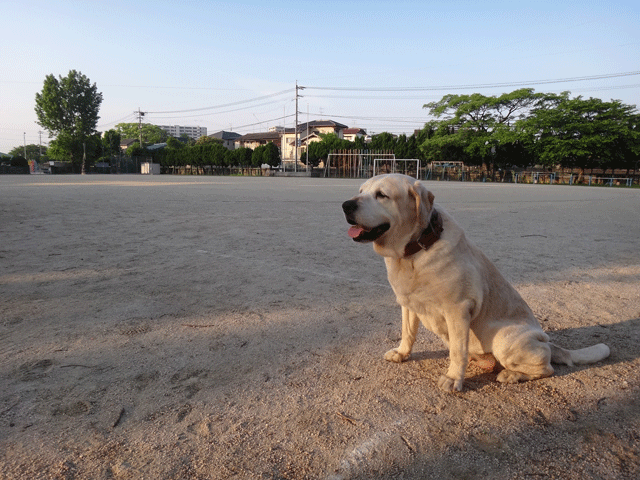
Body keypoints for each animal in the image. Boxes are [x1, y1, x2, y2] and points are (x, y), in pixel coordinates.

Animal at [342, 174, 612, 392]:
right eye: (360, 191)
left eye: (382, 195)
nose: (346, 205)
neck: (413, 253)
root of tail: (547, 341)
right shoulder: (408, 304)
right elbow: (408, 333)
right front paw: (401, 354)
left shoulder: (458, 310)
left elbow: (457, 352)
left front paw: (453, 379)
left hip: (504, 339)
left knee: (547, 368)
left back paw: (511, 375)